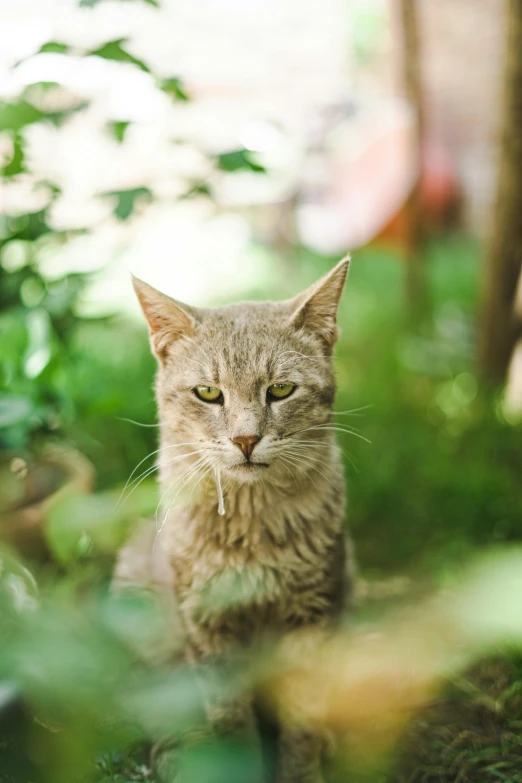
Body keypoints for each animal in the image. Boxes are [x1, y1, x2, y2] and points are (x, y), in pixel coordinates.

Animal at [114, 258, 356, 783]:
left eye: (281, 389)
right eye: (208, 393)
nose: (246, 439)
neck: (252, 522)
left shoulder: (315, 612)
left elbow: (302, 720)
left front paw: (303, 766)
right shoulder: (205, 623)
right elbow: (227, 720)